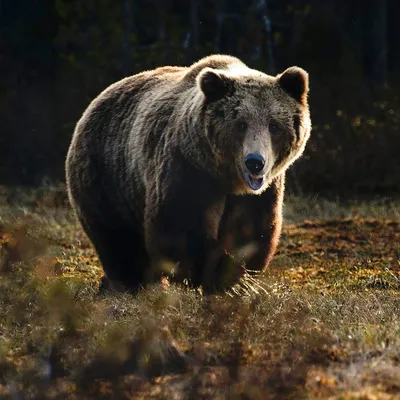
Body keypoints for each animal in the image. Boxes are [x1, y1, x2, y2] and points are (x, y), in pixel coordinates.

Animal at [64, 54, 310, 294]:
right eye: (241, 124)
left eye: (274, 125)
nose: (255, 162)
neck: (226, 177)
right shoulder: (187, 168)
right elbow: (179, 227)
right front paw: (226, 279)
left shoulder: (260, 193)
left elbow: (250, 231)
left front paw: (239, 278)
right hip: (106, 176)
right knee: (119, 239)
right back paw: (132, 283)